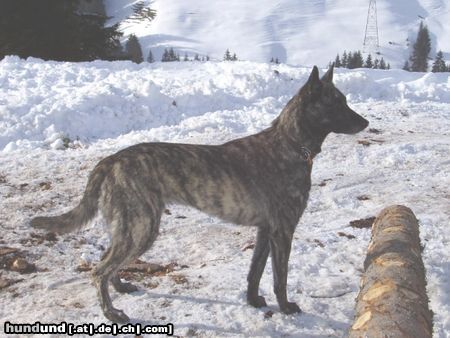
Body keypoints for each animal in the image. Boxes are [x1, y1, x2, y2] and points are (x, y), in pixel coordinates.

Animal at [31, 64, 370, 322]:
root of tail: (109, 161)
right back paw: (111, 313)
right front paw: (286, 308)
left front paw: (253, 301)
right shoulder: (283, 231)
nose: (366, 122)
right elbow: (279, 278)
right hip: (142, 227)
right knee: (98, 270)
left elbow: (255, 272)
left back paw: (121, 288)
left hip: (130, 227)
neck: (290, 143)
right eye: (336, 103)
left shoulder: (265, 230)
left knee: (107, 261)